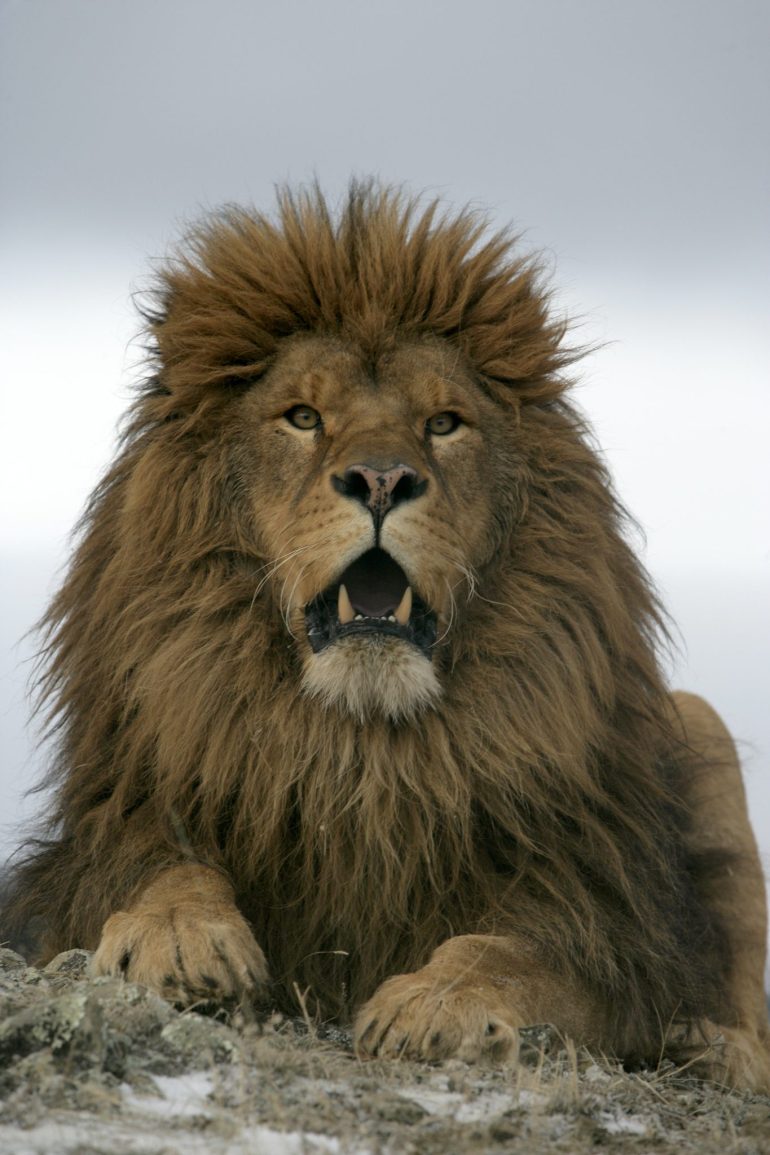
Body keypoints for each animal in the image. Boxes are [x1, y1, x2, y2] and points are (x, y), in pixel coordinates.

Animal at [2, 183, 768, 1089]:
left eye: (443, 423)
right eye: (303, 416)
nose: (380, 478)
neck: (361, 753)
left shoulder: (609, 920)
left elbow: (518, 951)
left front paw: (435, 1003)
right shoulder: (106, 837)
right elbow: (160, 867)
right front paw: (183, 938)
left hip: (700, 721)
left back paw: (708, 1047)